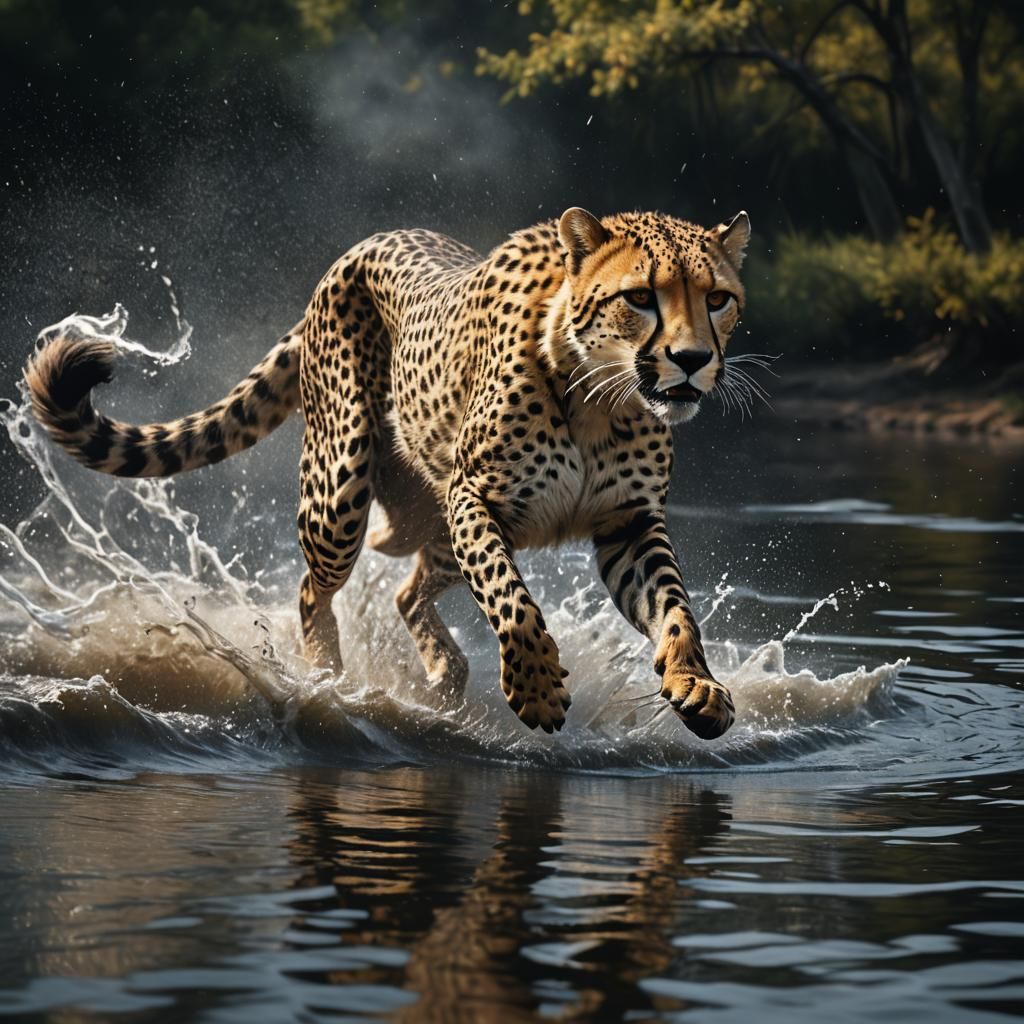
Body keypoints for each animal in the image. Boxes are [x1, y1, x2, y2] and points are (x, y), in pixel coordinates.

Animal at [25, 206, 750, 739]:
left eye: (717, 298)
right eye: (641, 297)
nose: (691, 360)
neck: (604, 400)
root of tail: (361, 246)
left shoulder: (628, 524)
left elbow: (677, 610)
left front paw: (697, 687)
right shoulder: (475, 497)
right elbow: (512, 600)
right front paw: (537, 686)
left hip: (426, 516)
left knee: (407, 591)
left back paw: (445, 673)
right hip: (340, 487)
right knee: (313, 589)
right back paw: (325, 676)